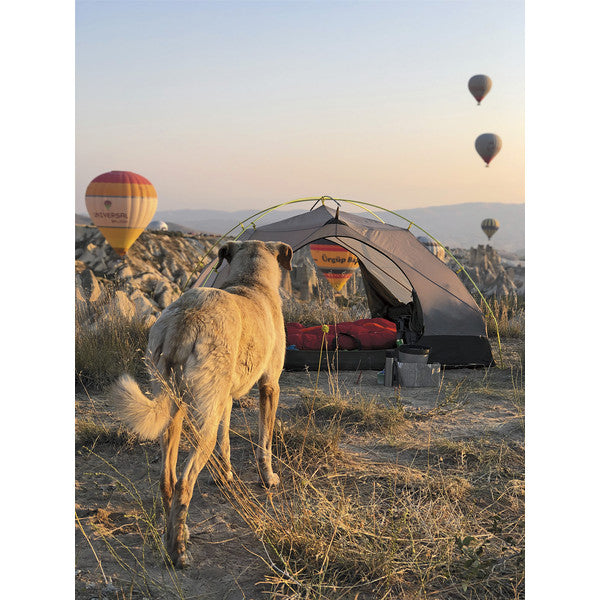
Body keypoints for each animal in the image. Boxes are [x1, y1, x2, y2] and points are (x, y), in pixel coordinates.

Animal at [112, 238, 292, 568]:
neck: (252, 282)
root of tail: (185, 318)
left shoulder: (225, 399)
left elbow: (225, 442)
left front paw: (225, 475)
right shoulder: (269, 386)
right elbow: (265, 442)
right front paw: (268, 478)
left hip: (176, 409)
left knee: (168, 478)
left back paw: (175, 534)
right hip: (198, 421)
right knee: (184, 481)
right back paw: (178, 553)